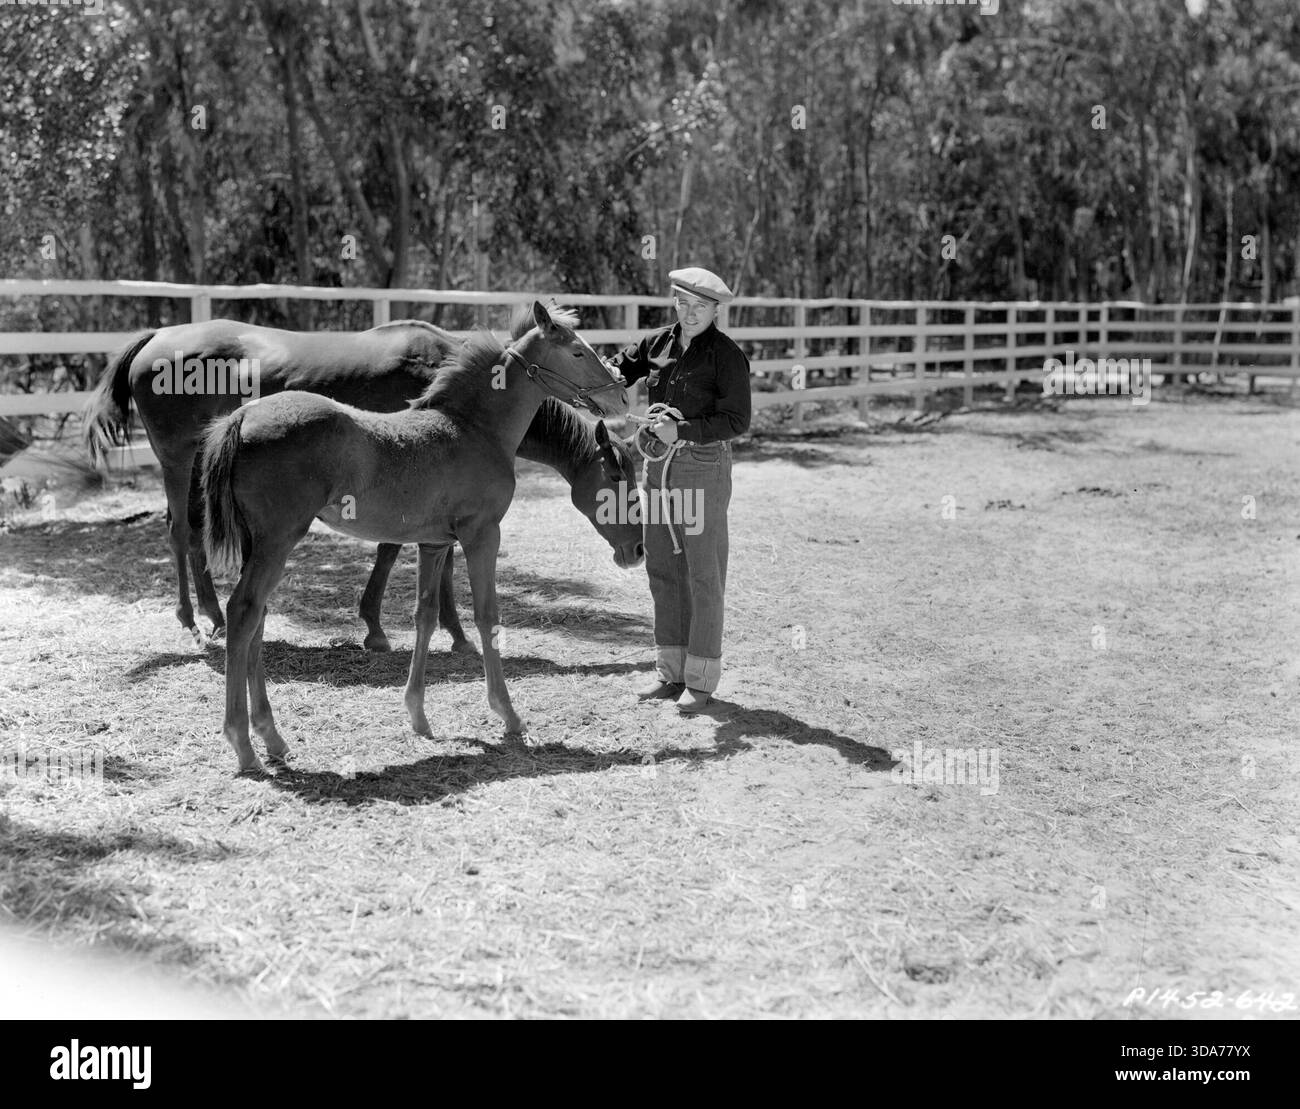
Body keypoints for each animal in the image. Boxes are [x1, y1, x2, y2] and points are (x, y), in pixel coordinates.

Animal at [82, 314, 643, 648]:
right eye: (616, 478)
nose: (619, 390)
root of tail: (158, 336)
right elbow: (397, 551)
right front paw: (402, 627)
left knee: (193, 533)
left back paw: (210, 615)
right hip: (179, 463)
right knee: (183, 532)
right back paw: (199, 618)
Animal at [200, 302, 629, 774]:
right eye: (576, 351)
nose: (621, 395)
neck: (473, 429)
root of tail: (242, 416)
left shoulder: (434, 542)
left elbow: (425, 615)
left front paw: (418, 716)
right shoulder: (482, 534)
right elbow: (487, 616)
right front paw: (508, 714)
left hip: (259, 544)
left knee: (257, 618)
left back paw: (272, 738)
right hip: (278, 539)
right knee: (243, 612)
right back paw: (244, 745)